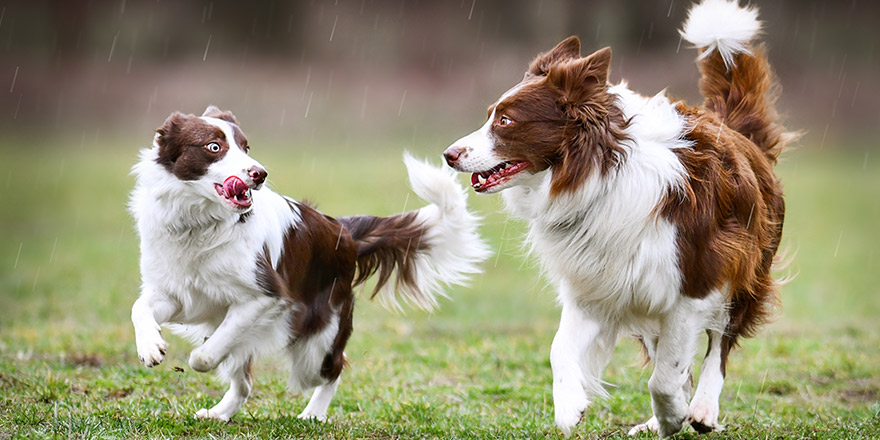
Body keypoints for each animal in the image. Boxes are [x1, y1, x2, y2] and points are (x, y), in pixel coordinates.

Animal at [131, 105, 488, 422]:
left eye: (246, 147)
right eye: (214, 147)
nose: (259, 174)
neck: (199, 224)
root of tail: (344, 233)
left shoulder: (266, 296)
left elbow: (205, 356)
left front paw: (199, 355)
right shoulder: (179, 292)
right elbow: (141, 307)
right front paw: (151, 347)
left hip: (315, 341)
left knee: (334, 368)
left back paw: (313, 414)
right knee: (244, 383)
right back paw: (219, 413)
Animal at [444, 0, 796, 436]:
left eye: (506, 121)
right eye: (491, 115)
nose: (448, 154)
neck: (600, 174)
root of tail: (734, 130)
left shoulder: (693, 285)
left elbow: (664, 376)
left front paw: (674, 415)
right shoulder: (598, 284)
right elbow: (559, 348)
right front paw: (570, 406)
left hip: (745, 269)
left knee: (719, 343)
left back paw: (701, 409)